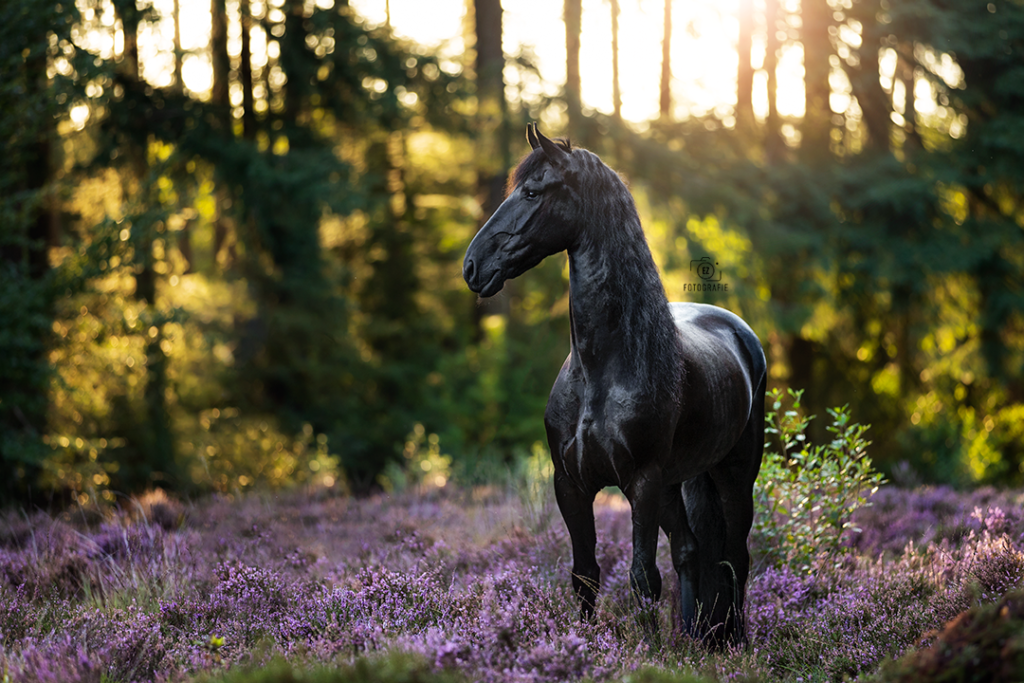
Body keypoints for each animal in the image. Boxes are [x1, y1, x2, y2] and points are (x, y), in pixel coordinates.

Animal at [464, 126, 770, 647]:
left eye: (532, 192)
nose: (471, 266)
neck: (601, 371)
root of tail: (739, 331)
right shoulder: (571, 484)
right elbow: (585, 574)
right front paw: (584, 648)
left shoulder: (641, 483)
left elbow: (642, 576)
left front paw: (650, 652)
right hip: (677, 481)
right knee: (691, 549)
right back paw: (695, 637)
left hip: (733, 475)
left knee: (735, 556)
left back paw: (733, 640)